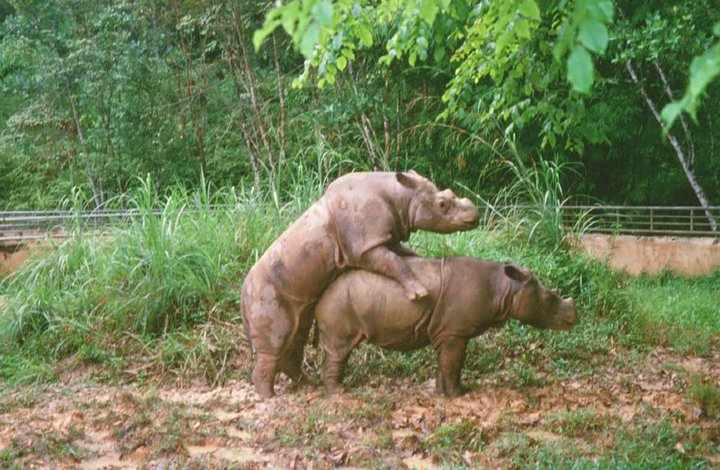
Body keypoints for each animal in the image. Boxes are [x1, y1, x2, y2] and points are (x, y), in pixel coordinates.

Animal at [241, 171, 479, 398]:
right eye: (442, 204)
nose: (475, 216)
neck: (401, 195)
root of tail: (242, 294)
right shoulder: (365, 245)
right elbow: (393, 261)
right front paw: (419, 293)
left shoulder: (380, 238)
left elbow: (400, 255)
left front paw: (420, 260)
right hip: (263, 293)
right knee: (277, 342)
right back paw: (269, 398)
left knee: (295, 337)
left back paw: (308, 384)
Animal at [315, 257, 577, 397]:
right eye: (550, 299)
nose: (574, 318)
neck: (505, 288)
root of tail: (320, 294)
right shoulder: (455, 332)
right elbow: (454, 363)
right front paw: (459, 395)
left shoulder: (446, 331)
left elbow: (445, 363)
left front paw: (442, 393)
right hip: (338, 302)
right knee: (340, 349)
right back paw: (338, 393)